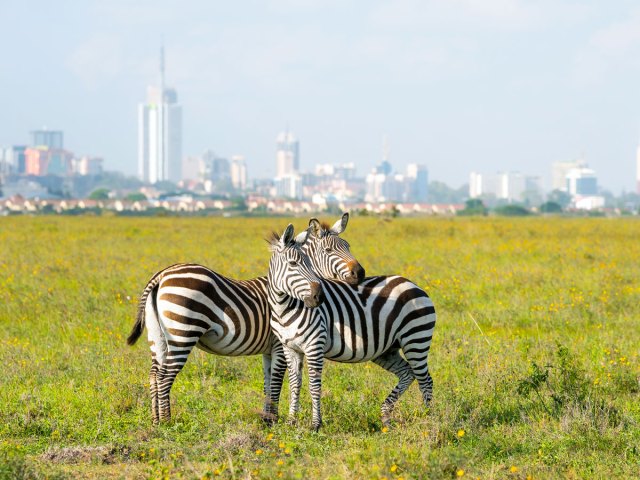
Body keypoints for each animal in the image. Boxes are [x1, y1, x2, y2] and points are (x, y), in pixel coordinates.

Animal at [126, 214, 363, 424]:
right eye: (329, 250)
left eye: (348, 246)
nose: (360, 273)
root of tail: (161, 275)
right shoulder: (279, 345)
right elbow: (277, 381)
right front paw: (273, 420)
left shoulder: (269, 349)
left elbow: (268, 382)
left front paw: (267, 419)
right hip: (183, 333)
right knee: (165, 376)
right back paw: (167, 421)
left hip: (157, 336)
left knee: (154, 374)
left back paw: (155, 420)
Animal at [267, 226, 436, 431]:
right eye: (293, 263)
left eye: (309, 263)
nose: (319, 297)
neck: (284, 308)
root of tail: (414, 284)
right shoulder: (289, 348)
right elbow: (294, 384)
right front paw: (291, 422)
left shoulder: (314, 346)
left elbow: (314, 386)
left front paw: (316, 424)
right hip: (387, 350)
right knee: (407, 373)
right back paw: (386, 416)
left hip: (416, 339)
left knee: (425, 380)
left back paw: (428, 419)